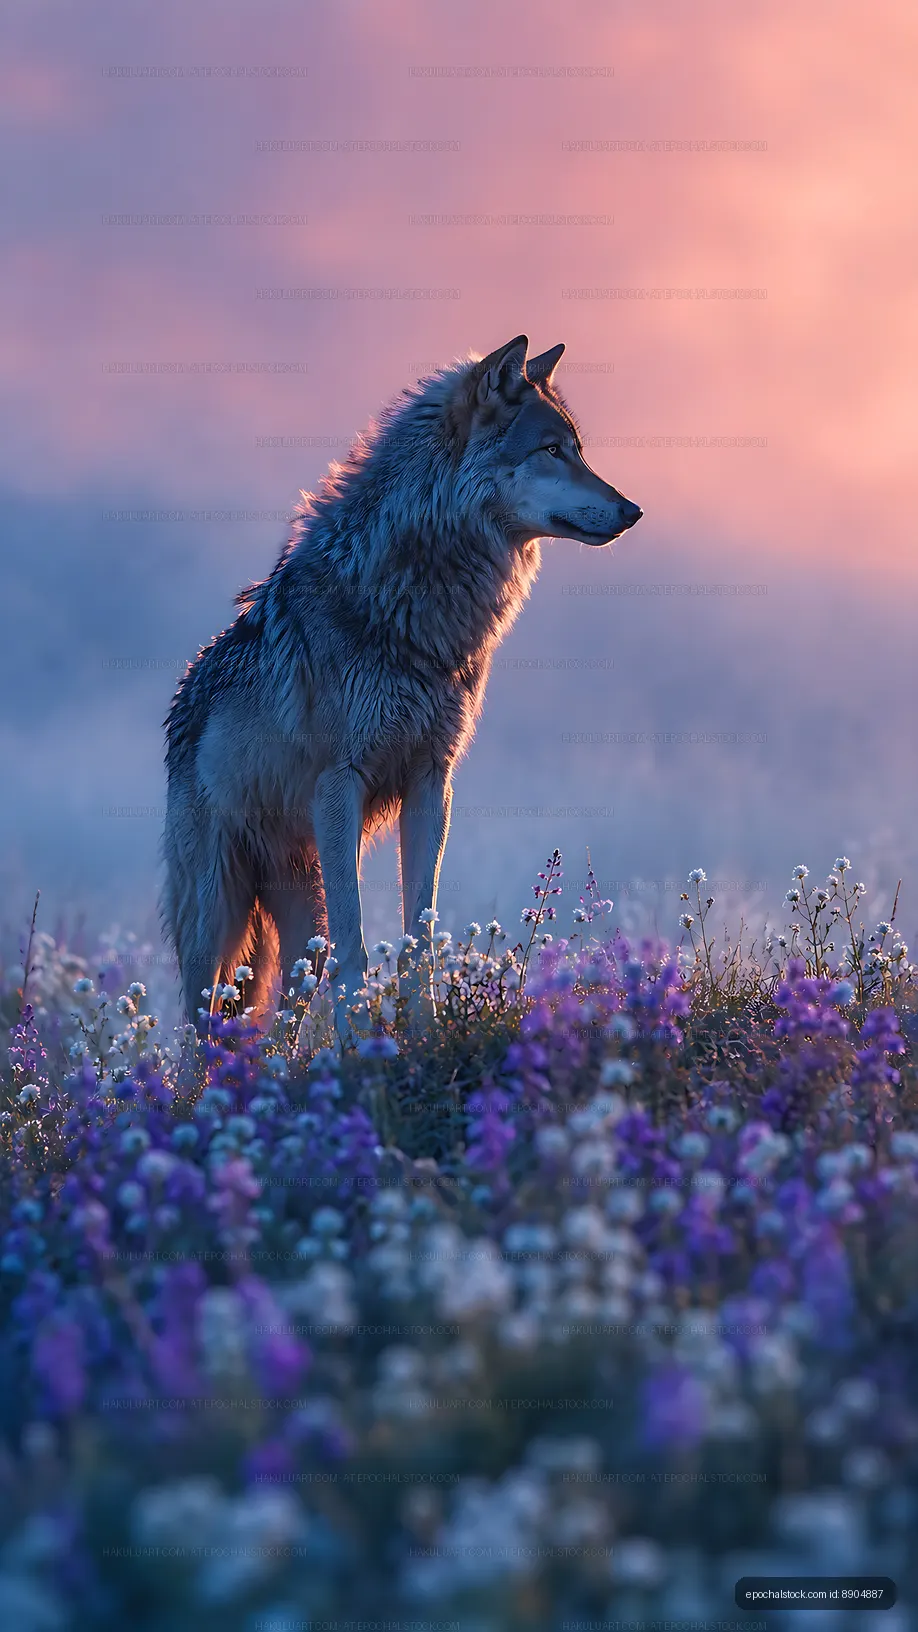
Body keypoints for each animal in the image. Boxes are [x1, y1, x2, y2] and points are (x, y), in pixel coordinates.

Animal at [163, 334, 642, 1034]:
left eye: (578, 450)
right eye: (553, 450)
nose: (633, 510)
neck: (418, 603)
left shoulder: (430, 782)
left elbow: (419, 933)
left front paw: (421, 1033)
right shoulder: (340, 785)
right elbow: (360, 945)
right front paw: (363, 1043)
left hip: (298, 918)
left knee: (283, 1012)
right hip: (218, 918)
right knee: (201, 1024)